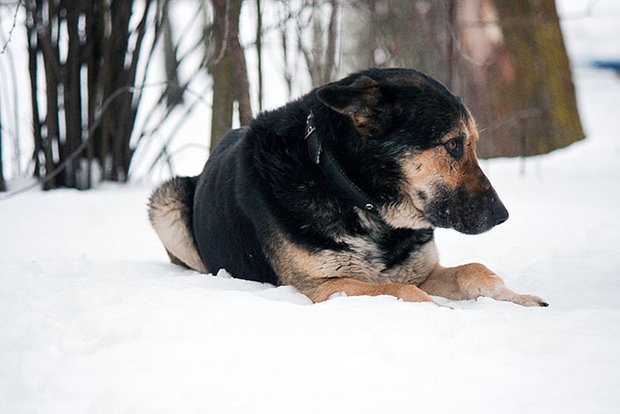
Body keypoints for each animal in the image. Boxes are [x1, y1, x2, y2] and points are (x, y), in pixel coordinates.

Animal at [149, 68, 548, 308]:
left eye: (473, 144)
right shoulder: (324, 286)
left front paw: (519, 298)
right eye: (452, 145)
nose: (501, 215)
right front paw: (441, 309)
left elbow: (473, 270)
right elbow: (402, 289)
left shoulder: (422, 271)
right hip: (165, 202)